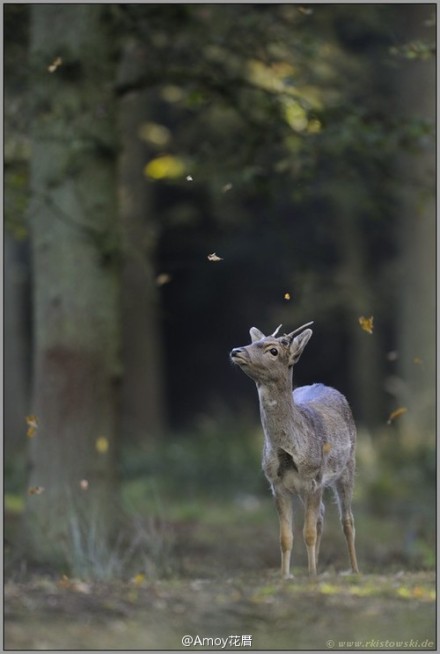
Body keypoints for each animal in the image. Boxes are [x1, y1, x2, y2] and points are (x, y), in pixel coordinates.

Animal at [229, 322, 360, 580]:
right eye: (253, 342)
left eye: (273, 350)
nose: (236, 351)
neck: (289, 454)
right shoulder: (277, 484)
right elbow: (285, 537)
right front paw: (285, 576)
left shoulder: (315, 479)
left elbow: (307, 533)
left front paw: (310, 576)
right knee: (322, 515)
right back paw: (317, 566)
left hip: (347, 467)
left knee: (347, 520)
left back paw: (355, 570)